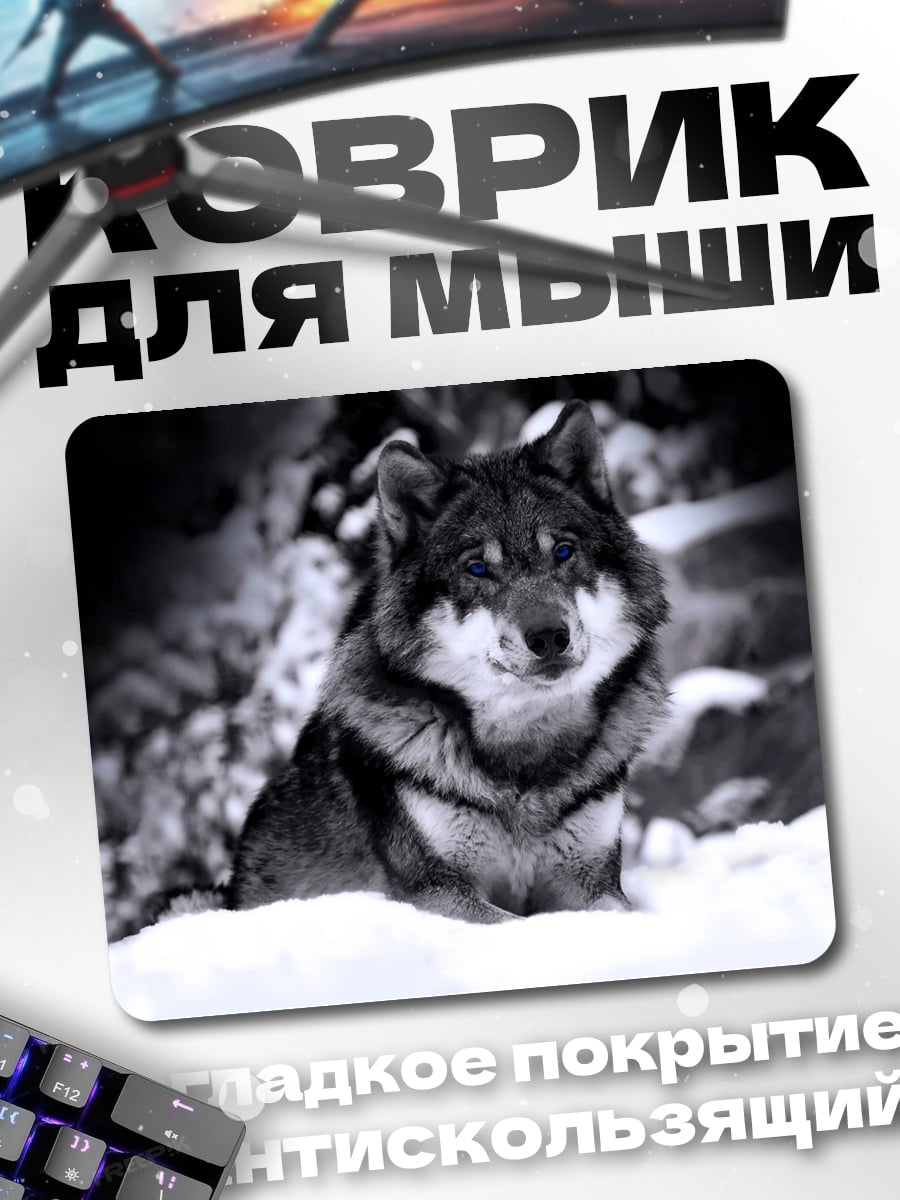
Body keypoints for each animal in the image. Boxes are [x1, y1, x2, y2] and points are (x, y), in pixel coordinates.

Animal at [229, 401, 669, 923]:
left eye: (562, 552)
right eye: (477, 568)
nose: (549, 636)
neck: (524, 758)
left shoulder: (592, 881)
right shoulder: (435, 891)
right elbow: (513, 925)